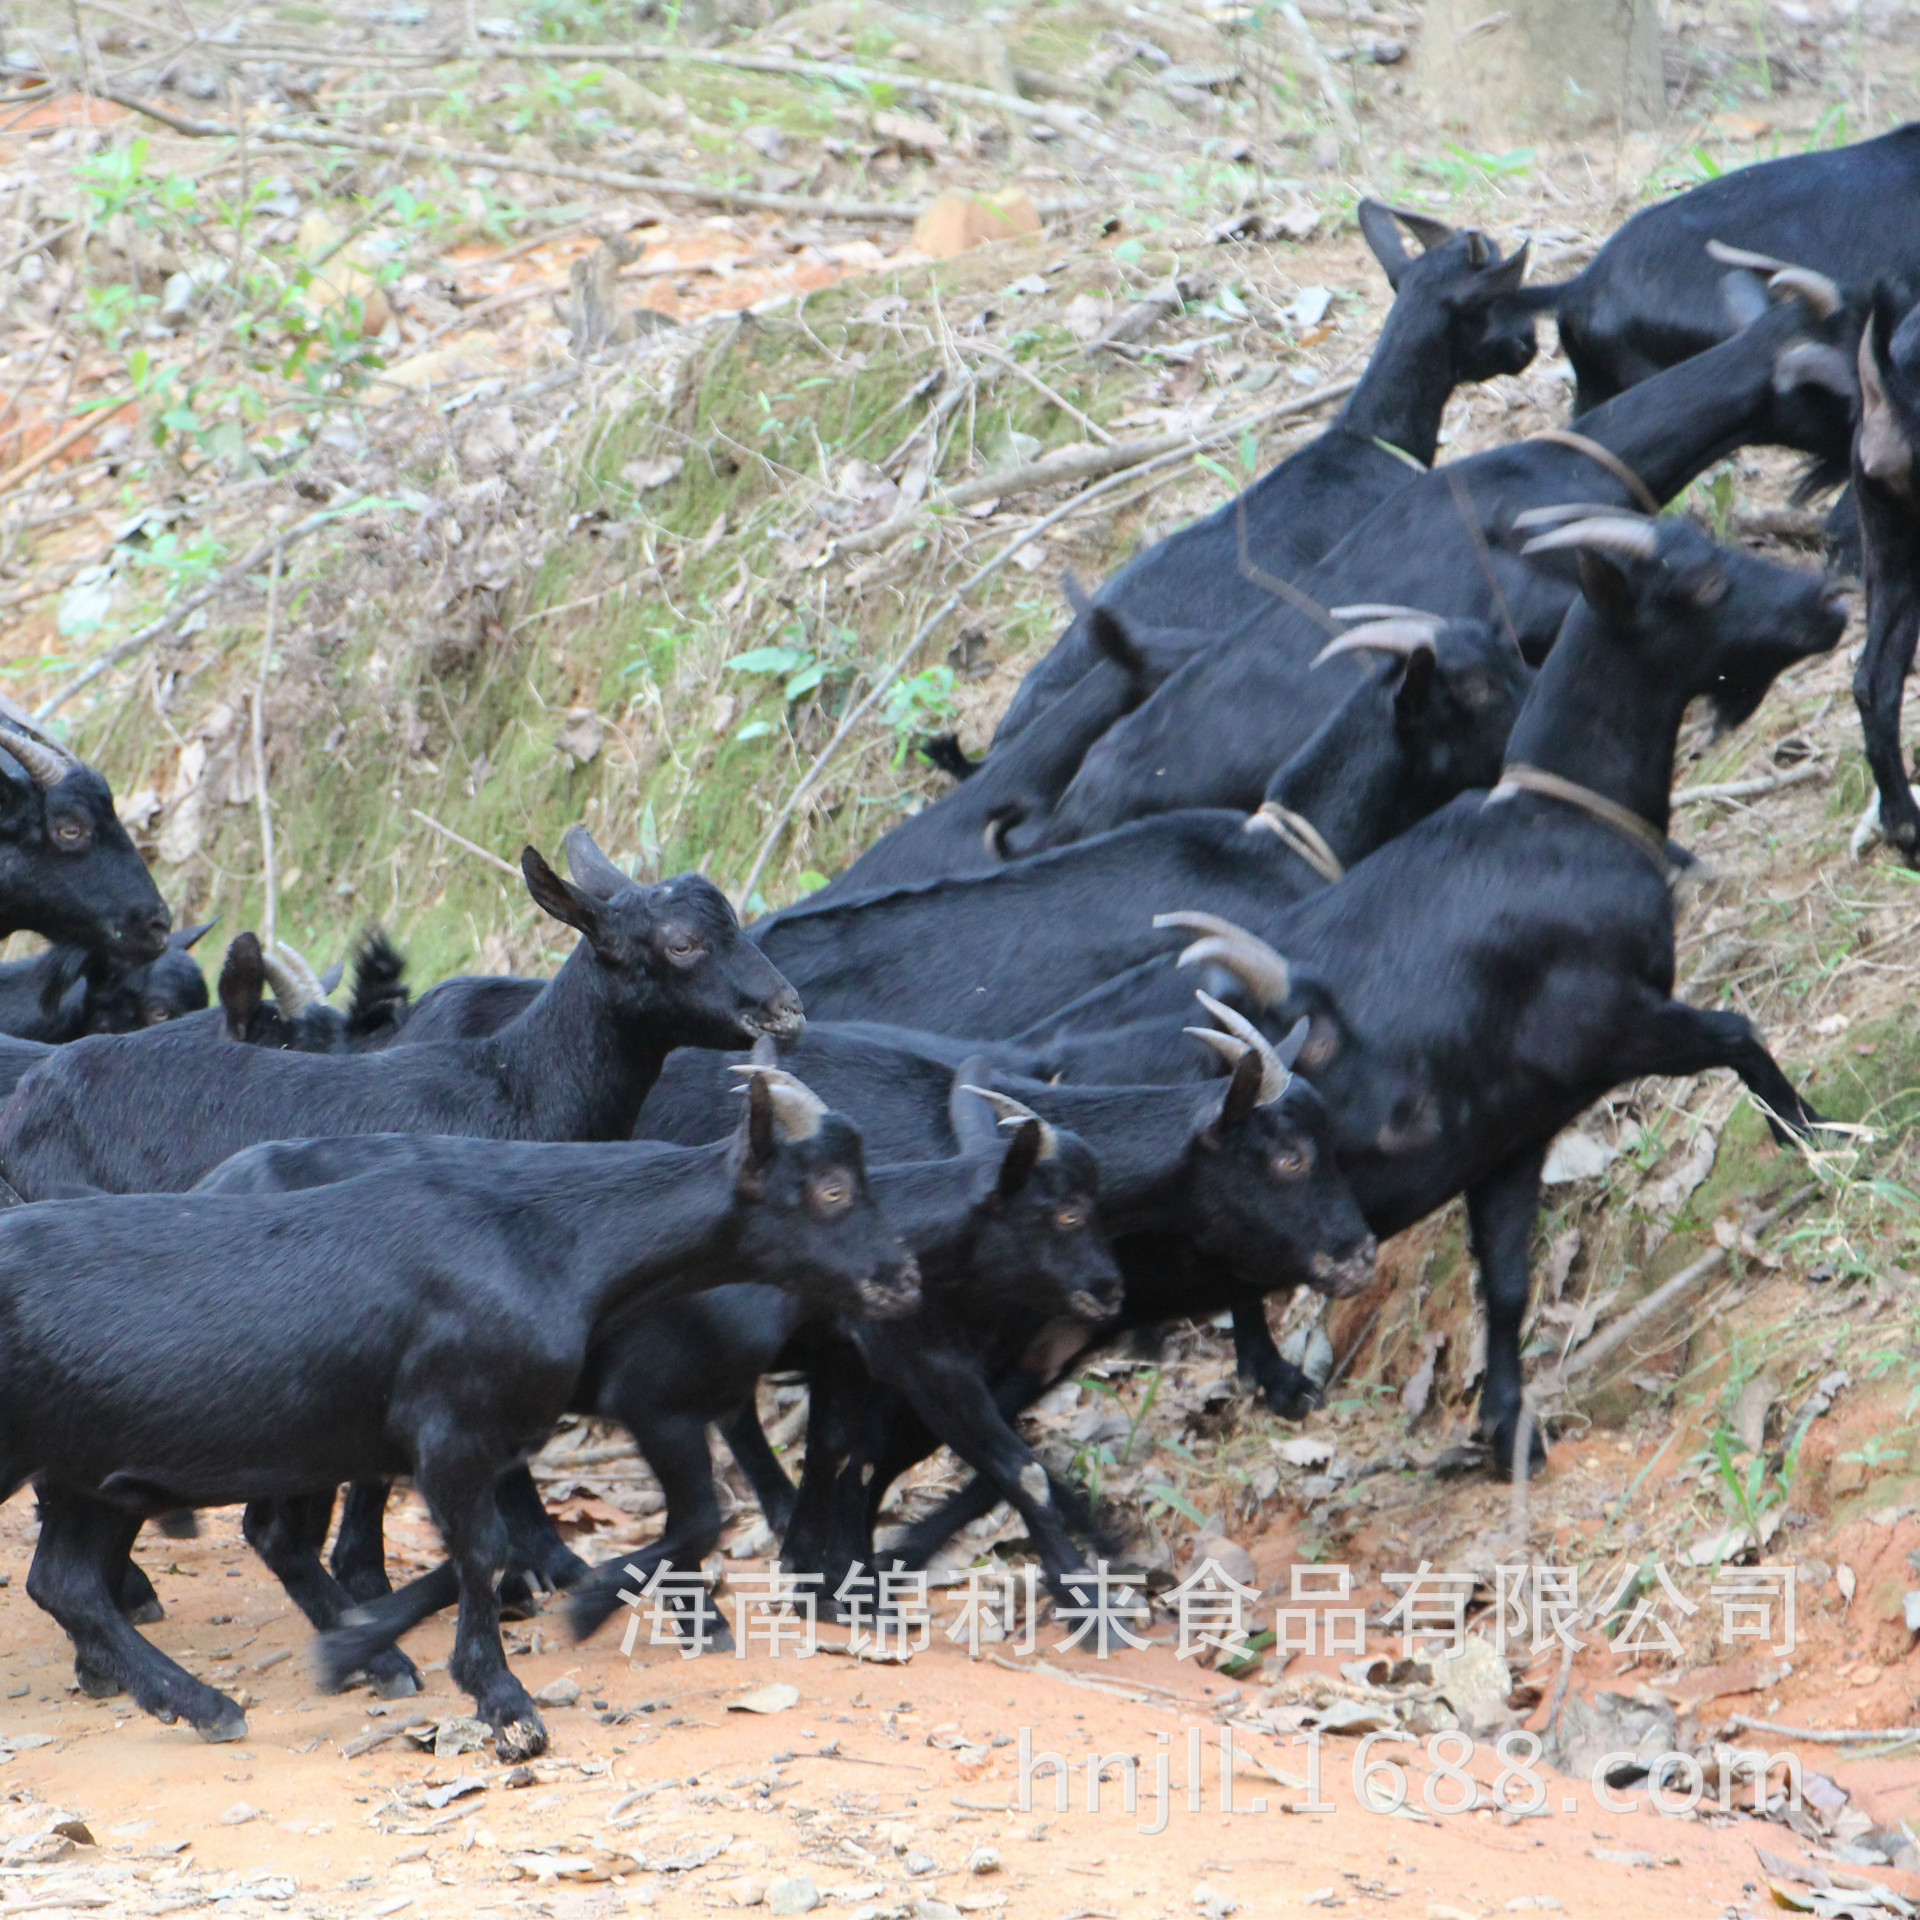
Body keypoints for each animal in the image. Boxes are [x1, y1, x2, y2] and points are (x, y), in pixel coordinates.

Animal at [1, 1067, 913, 1758]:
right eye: (831, 1190)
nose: (902, 1278)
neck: (544, 1240)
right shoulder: (460, 1428)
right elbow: (487, 1550)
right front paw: (507, 1698)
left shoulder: (487, 1437)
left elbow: (496, 1551)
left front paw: (367, 1648)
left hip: (94, 1471)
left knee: (68, 1581)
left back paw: (205, 1699)